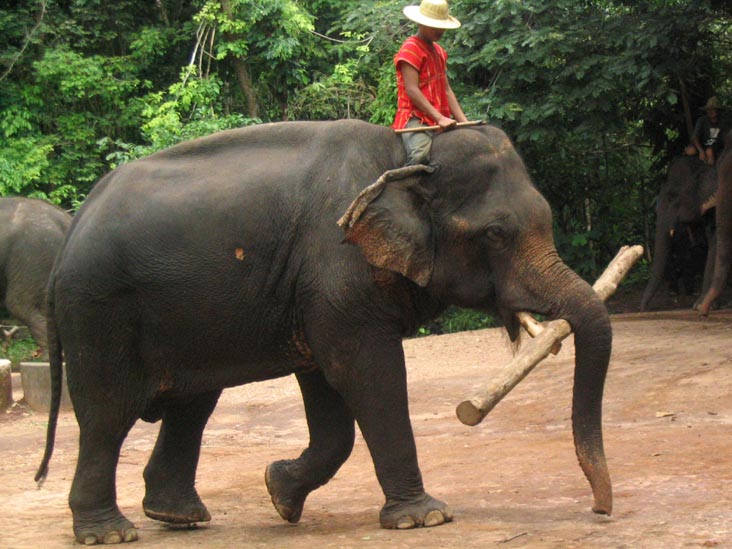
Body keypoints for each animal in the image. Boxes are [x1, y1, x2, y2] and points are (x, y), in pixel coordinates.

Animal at [35, 120, 613, 545]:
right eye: (495, 234)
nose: (600, 508)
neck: (404, 154)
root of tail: (72, 226)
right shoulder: (336, 269)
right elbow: (364, 371)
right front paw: (425, 518)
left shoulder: (313, 286)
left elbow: (329, 394)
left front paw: (279, 493)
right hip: (97, 308)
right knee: (108, 413)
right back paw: (109, 534)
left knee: (191, 404)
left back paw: (179, 518)